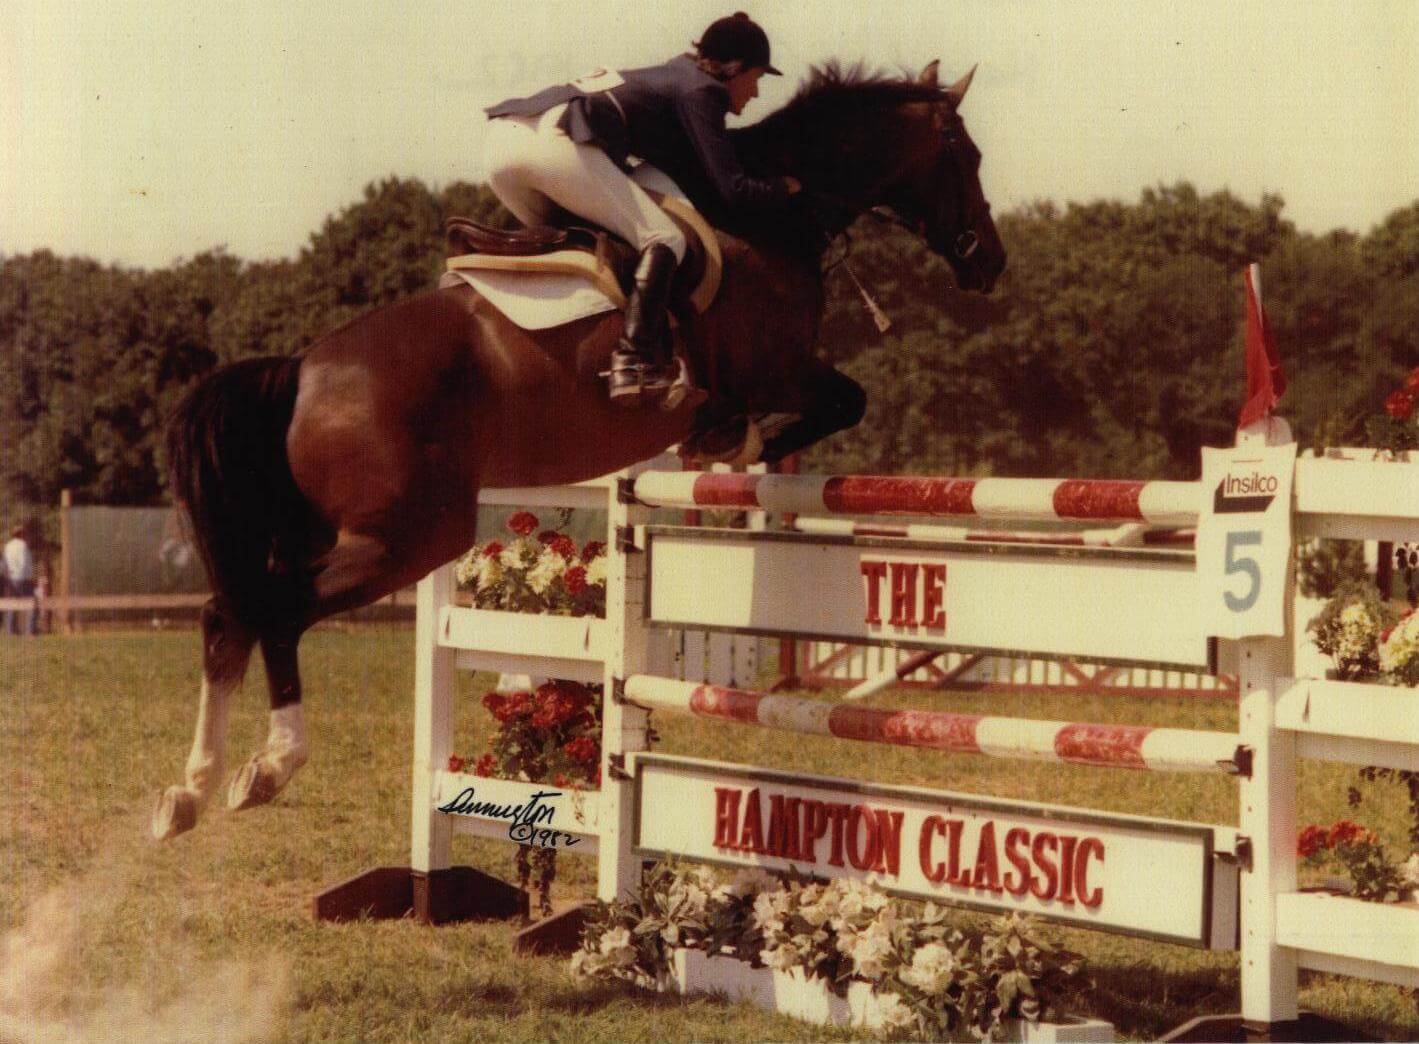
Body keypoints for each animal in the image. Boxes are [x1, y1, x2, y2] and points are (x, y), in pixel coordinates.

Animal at [152, 59, 998, 839]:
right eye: (964, 153)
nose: (987, 260)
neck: (774, 217)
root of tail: (302, 369)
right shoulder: (779, 365)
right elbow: (838, 401)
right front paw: (729, 438)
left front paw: (724, 442)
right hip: (406, 537)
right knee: (273, 611)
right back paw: (267, 768)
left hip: (330, 530)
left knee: (230, 614)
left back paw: (189, 791)